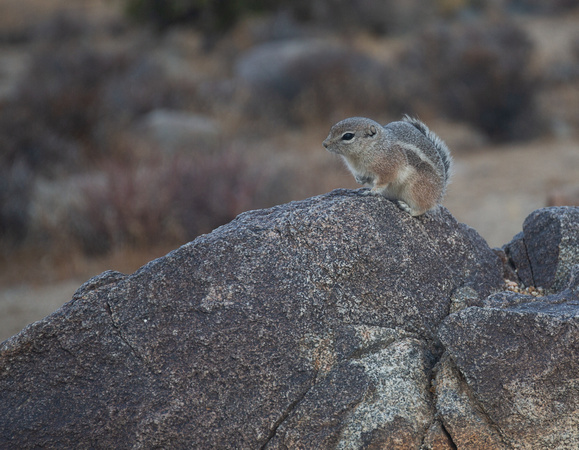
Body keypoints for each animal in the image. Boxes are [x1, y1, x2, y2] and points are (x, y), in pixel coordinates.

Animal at [322, 114, 454, 216]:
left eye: (348, 136)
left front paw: (372, 191)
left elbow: (383, 182)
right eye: (332, 129)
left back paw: (409, 209)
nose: (324, 144)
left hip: (416, 189)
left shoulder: (388, 168)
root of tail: (440, 193)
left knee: (423, 208)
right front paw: (360, 180)